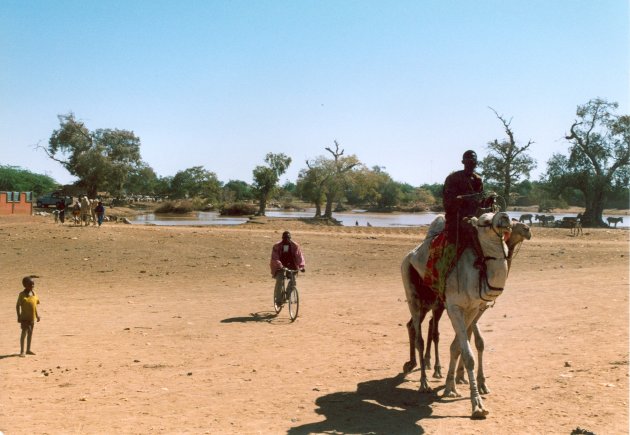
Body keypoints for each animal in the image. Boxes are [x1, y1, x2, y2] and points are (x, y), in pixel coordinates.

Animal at [404, 213, 520, 420]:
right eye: (484, 221)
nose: (506, 218)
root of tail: (411, 254)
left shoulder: (473, 308)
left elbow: (457, 347)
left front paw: (451, 387)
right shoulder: (454, 307)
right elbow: (468, 355)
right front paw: (477, 406)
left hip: (432, 302)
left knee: (421, 327)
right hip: (412, 294)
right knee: (419, 336)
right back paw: (423, 383)